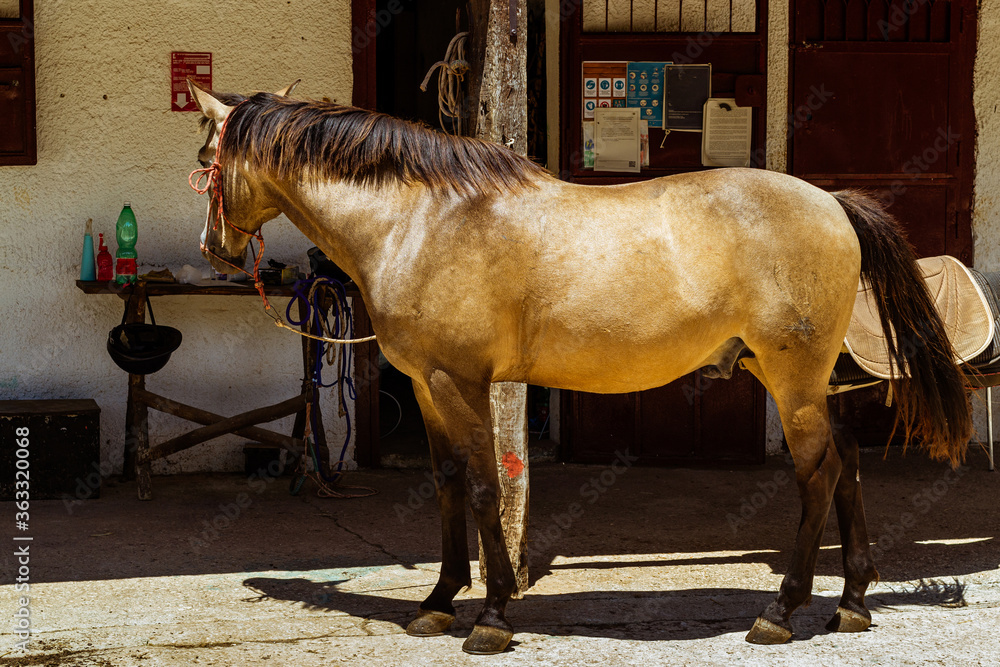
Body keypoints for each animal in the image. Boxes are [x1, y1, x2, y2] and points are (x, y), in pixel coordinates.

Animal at [186, 79, 972, 655]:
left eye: (204, 155)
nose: (216, 250)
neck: (421, 222)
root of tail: (832, 203)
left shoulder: (459, 382)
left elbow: (482, 486)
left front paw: (492, 614)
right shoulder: (429, 384)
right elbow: (446, 484)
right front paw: (439, 601)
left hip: (792, 380)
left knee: (818, 471)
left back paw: (783, 610)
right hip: (800, 380)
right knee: (849, 461)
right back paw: (853, 601)